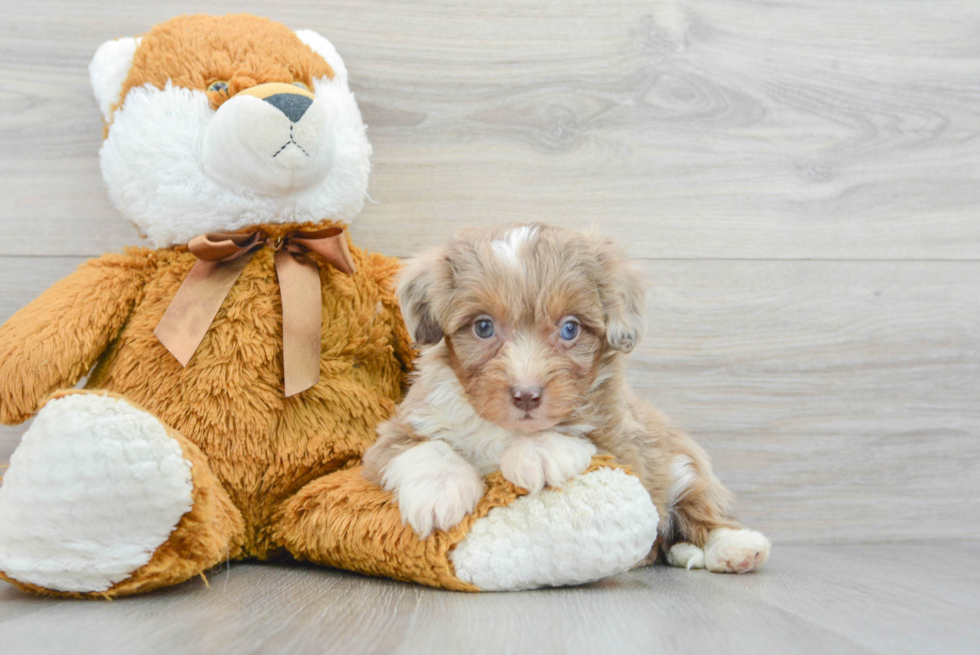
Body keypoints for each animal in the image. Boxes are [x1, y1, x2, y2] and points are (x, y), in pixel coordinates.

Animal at [364, 223, 768, 572]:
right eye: (483, 327)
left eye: (570, 329)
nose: (526, 395)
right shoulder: (397, 430)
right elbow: (421, 446)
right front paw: (441, 491)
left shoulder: (627, 450)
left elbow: (582, 435)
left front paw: (539, 451)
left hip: (679, 463)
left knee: (699, 509)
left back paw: (734, 547)